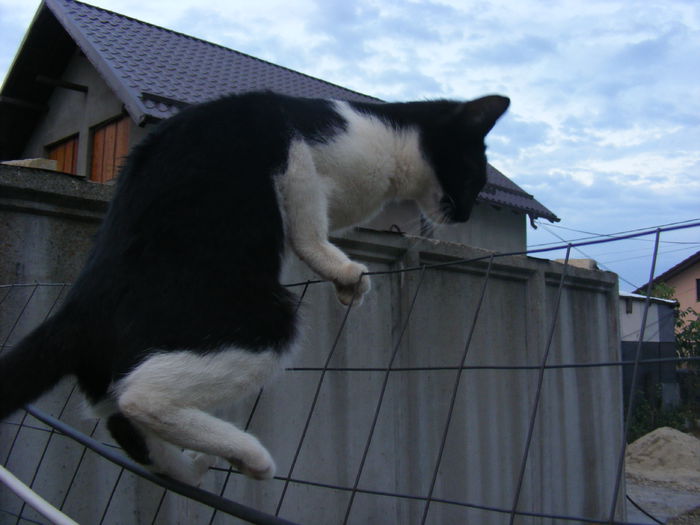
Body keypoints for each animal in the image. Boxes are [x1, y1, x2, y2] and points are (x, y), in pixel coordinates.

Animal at [0, 90, 506, 484]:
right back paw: (252, 457)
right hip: (263, 318)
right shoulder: (293, 146)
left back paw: (192, 468)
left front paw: (345, 284)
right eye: (473, 176)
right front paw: (345, 272)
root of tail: (80, 306)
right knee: (140, 398)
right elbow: (308, 228)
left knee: (123, 424)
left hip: (109, 377)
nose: (465, 215)